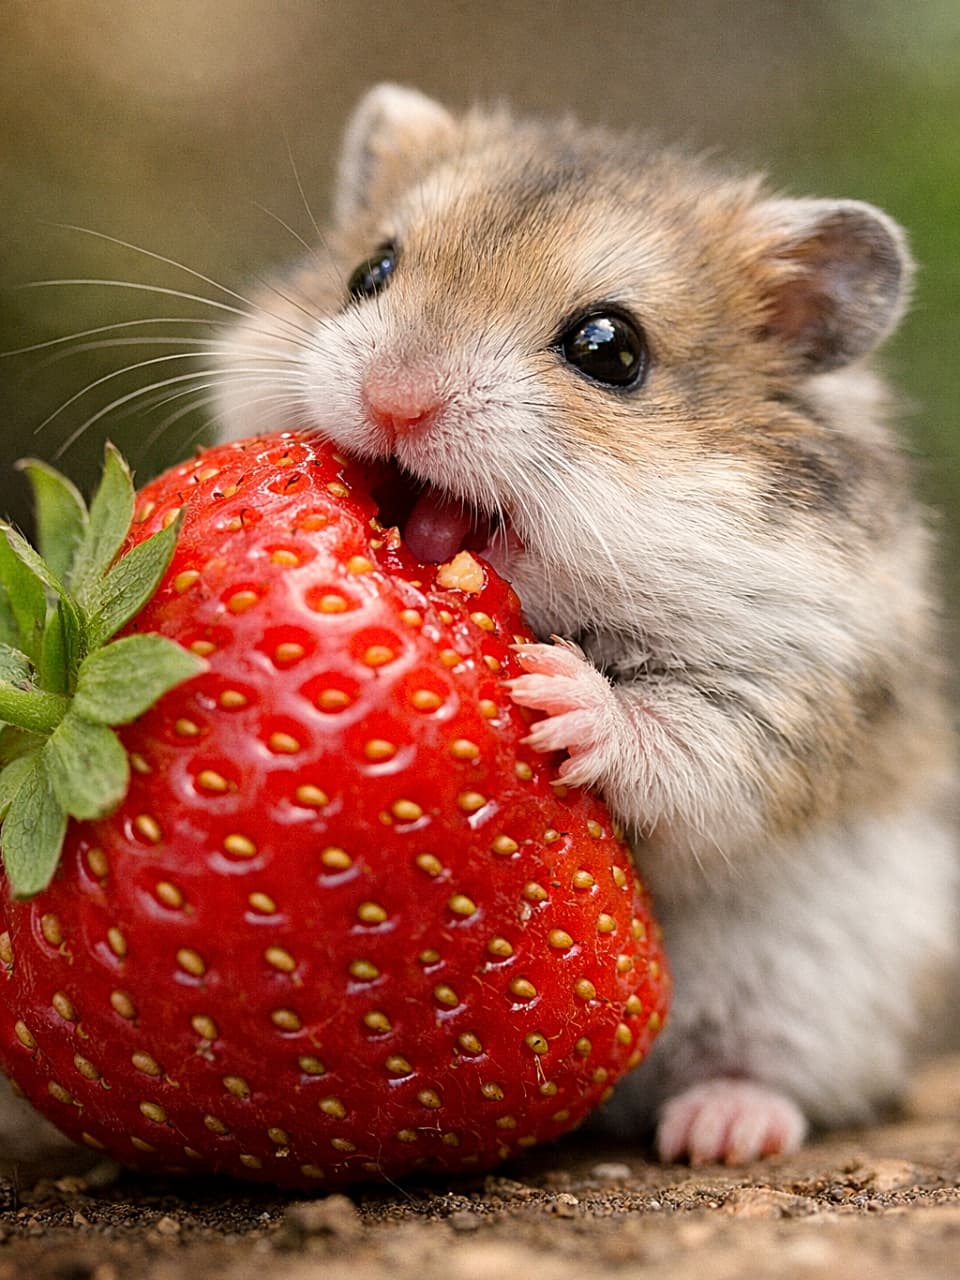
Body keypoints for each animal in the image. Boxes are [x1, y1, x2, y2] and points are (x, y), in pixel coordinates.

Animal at [215, 84, 958, 1165]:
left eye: (610, 350)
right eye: (369, 272)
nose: (396, 400)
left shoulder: (791, 689)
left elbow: (686, 741)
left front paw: (555, 688)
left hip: (821, 978)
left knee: (776, 1071)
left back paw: (719, 1130)